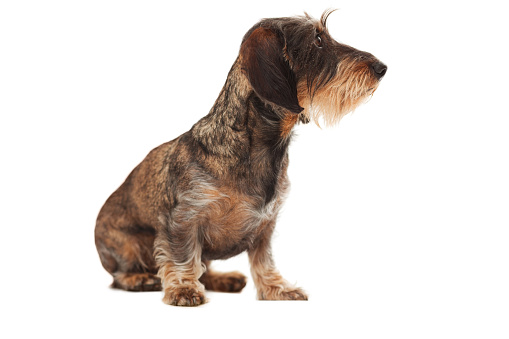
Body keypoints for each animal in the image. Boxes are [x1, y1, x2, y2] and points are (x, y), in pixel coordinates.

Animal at [94, 10, 384, 306]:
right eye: (317, 40)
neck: (258, 149)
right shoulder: (183, 219)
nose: (382, 68)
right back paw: (140, 278)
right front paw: (184, 289)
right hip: (128, 244)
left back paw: (223, 279)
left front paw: (276, 289)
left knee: (206, 268)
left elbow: (263, 261)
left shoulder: (266, 226)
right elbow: (184, 256)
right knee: (120, 275)